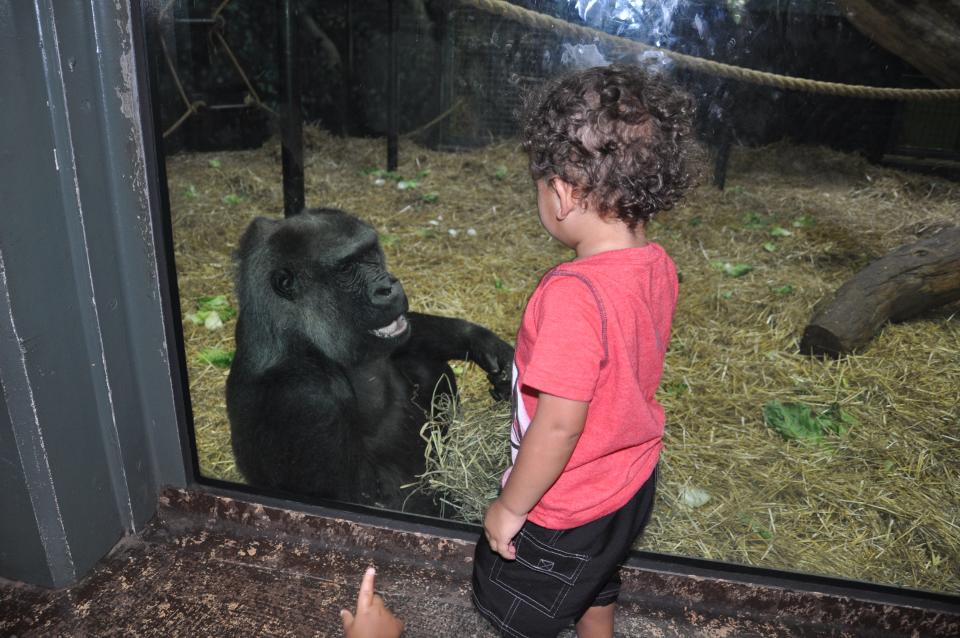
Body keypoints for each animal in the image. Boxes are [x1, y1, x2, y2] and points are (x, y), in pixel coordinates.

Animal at [225, 209, 512, 516]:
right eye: (347, 268)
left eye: (370, 253)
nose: (388, 286)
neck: (298, 332)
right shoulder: (304, 400)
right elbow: (358, 498)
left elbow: (405, 339)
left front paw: (480, 342)